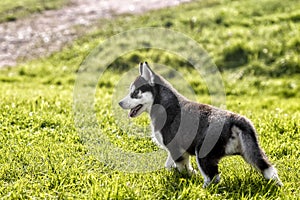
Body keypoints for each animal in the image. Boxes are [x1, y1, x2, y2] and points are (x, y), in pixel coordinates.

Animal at [118, 61, 282, 188]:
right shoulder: (175, 148)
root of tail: (236, 119)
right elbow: (169, 164)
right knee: (269, 169)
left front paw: (189, 175)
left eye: (135, 93)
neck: (163, 105)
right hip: (251, 153)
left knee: (213, 178)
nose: (119, 103)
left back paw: (203, 190)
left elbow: (182, 167)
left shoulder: (176, 148)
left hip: (203, 155)